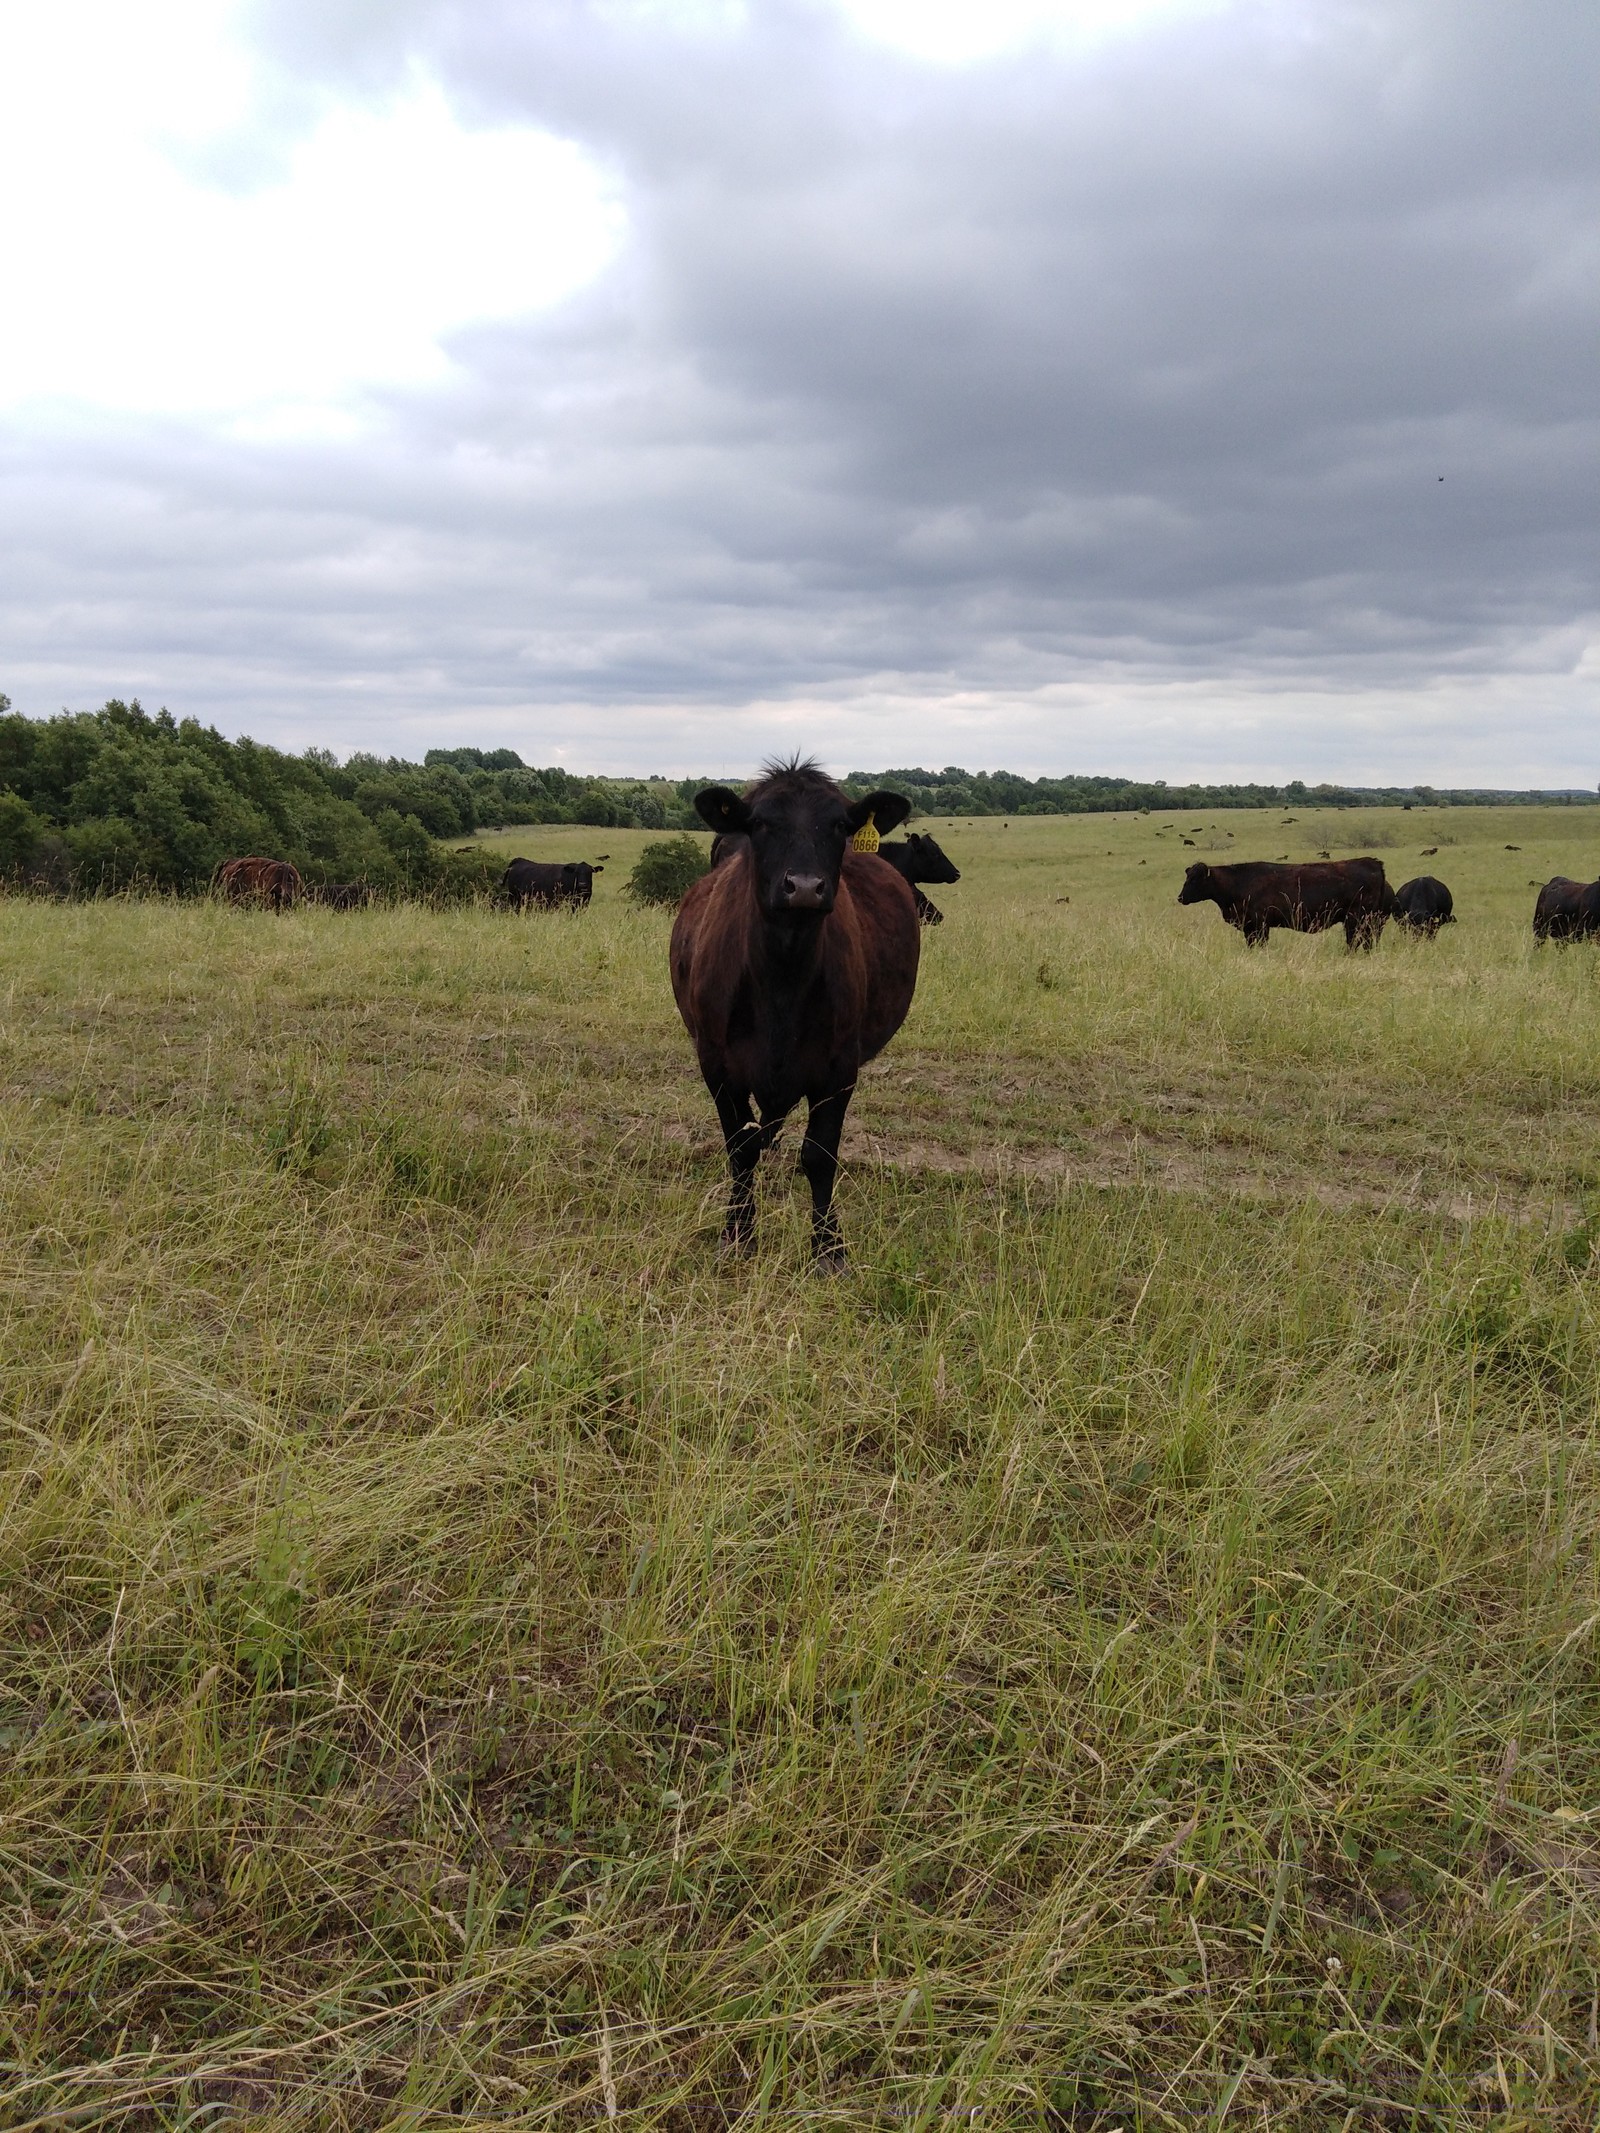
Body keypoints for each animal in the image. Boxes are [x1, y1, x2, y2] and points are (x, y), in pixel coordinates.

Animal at [674, 759, 921, 1262]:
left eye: (841, 826)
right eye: (760, 823)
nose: (804, 887)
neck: (781, 983)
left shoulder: (839, 1069)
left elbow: (819, 1156)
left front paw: (828, 1248)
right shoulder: (715, 1063)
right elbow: (740, 1148)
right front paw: (738, 1233)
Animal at [1186, 853, 1399, 947]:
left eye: (1195, 879)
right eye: (1188, 876)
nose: (1181, 897)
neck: (1239, 881)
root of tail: (1373, 863)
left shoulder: (1258, 926)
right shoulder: (1252, 928)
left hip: (1356, 921)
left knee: (1355, 942)